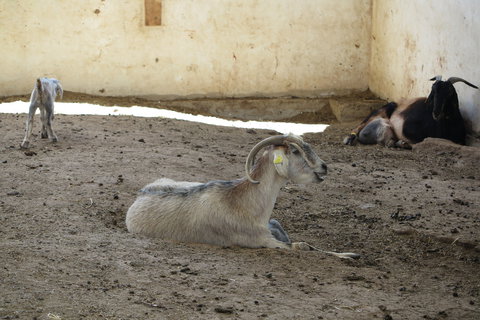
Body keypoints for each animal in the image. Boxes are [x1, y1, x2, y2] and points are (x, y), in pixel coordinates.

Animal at [127, 134, 360, 258]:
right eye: (295, 151)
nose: (324, 167)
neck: (241, 202)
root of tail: (140, 195)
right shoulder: (260, 240)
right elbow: (302, 246)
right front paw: (350, 255)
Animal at [344, 77, 476, 148]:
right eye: (433, 91)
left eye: (449, 91)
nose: (436, 113)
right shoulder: (408, 128)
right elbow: (417, 141)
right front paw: (402, 143)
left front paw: (401, 143)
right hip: (385, 109)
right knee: (361, 125)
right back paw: (349, 138)